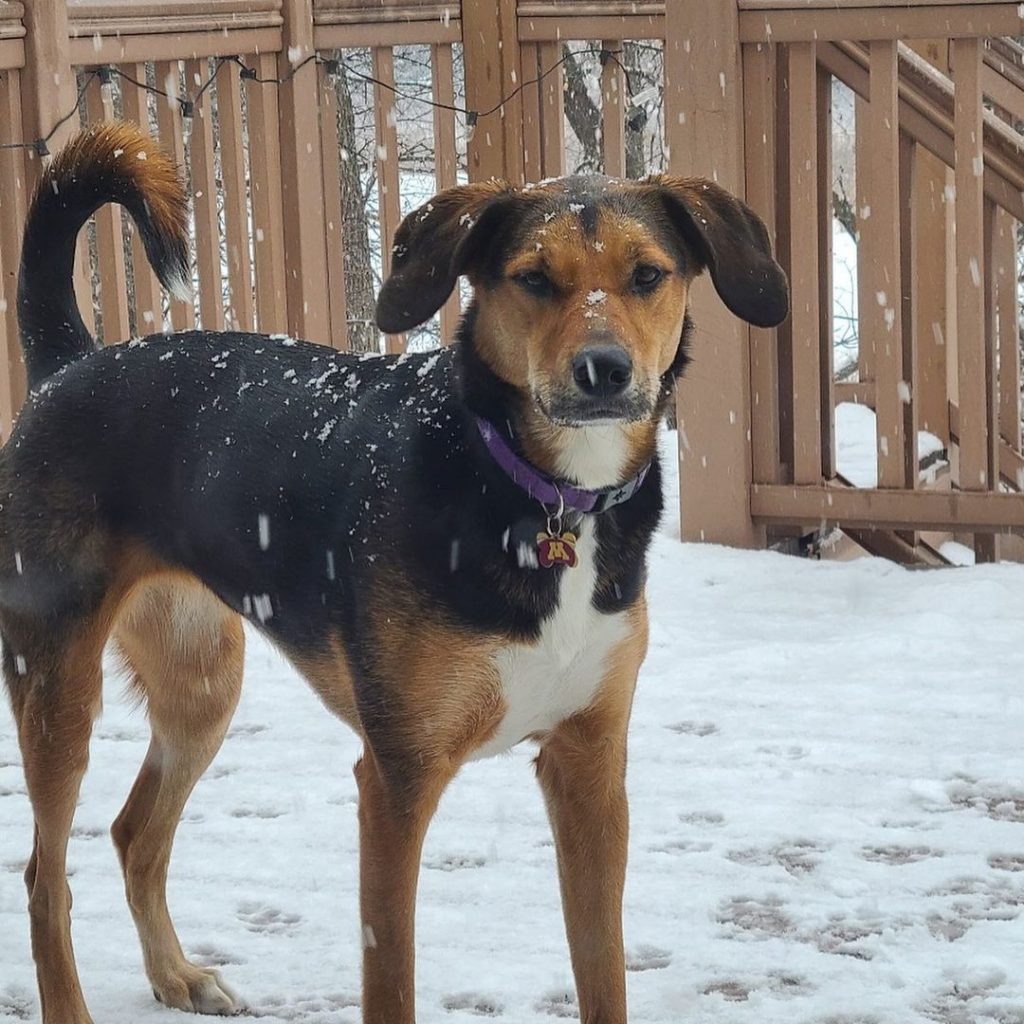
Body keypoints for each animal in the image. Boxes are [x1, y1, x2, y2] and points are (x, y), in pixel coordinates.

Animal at [2, 121, 782, 1024]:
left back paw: (176, 973)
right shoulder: (397, 779)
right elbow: (392, 973)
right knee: (43, 877)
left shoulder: (590, 766)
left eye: (648, 275)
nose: (604, 370)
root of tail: (68, 363)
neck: (538, 495)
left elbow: (604, 973)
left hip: (201, 681)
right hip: (58, 685)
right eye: (534, 278)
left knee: (136, 834)